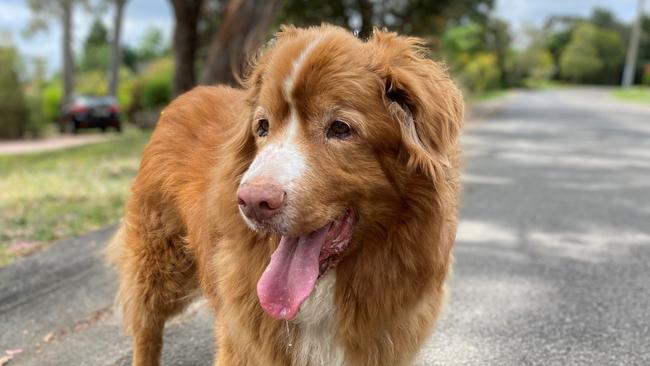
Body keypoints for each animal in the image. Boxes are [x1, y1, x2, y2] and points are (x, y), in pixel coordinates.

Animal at [107, 25, 460, 366]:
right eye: (262, 127)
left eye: (340, 128)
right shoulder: (245, 342)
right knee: (147, 328)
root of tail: (188, 95)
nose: (252, 202)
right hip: (157, 261)